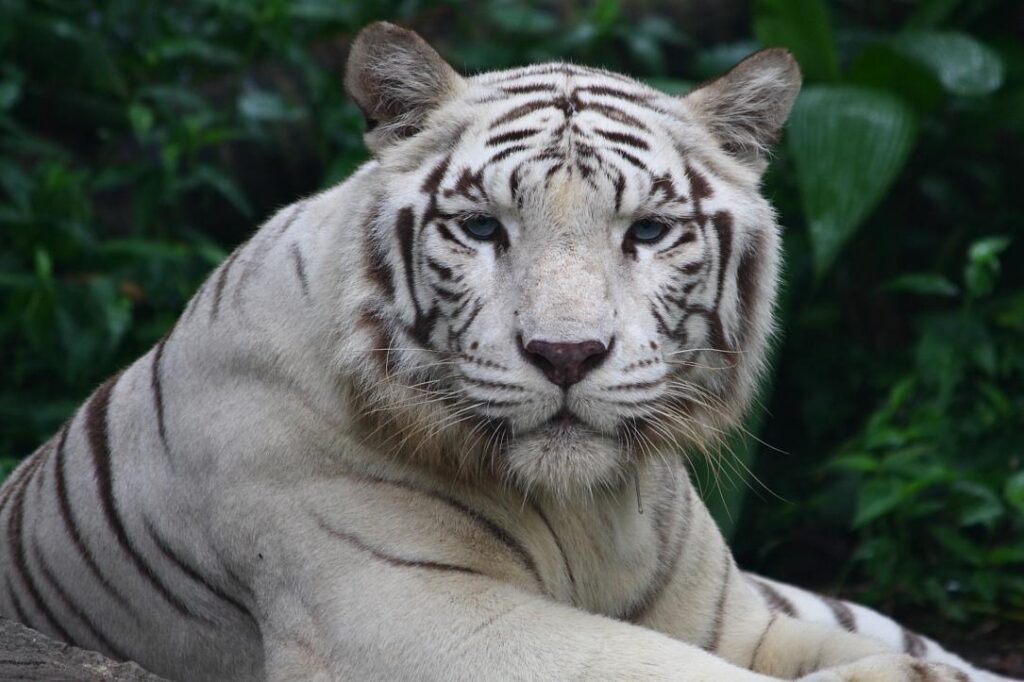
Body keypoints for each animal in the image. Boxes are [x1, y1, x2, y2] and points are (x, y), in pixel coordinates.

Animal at [0, 21, 1015, 682]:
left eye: (648, 231)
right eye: (483, 227)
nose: (566, 355)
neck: (590, 511)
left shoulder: (728, 616)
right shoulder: (404, 612)